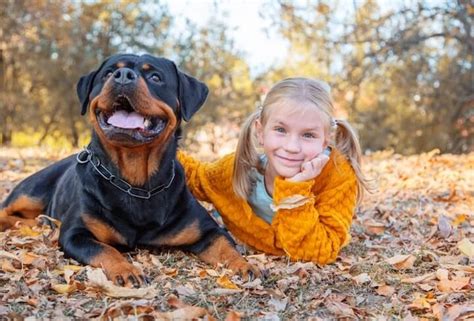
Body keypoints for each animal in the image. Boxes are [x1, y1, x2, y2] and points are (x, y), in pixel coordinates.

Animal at [0, 53, 258, 286]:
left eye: (155, 77)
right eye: (107, 73)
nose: (123, 75)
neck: (135, 181)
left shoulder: (207, 230)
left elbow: (226, 247)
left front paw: (244, 265)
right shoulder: (76, 234)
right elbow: (105, 250)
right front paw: (126, 270)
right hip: (31, 191)